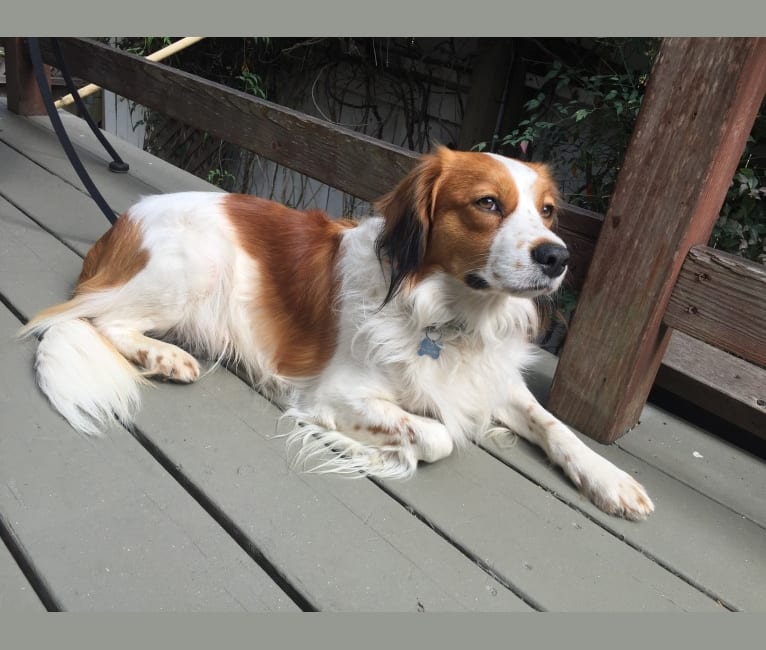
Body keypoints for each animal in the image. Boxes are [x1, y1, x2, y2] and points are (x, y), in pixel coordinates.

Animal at [19, 146, 656, 516]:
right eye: (488, 203)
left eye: (547, 211)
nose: (558, 257)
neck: (448, 317)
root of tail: (121, 222)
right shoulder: (338, 392)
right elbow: (437, 437)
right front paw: (356, 447)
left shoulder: (492, 382)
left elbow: (555, 426)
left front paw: (610, 479)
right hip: (194, 267)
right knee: (97, 318)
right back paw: (163, 356)